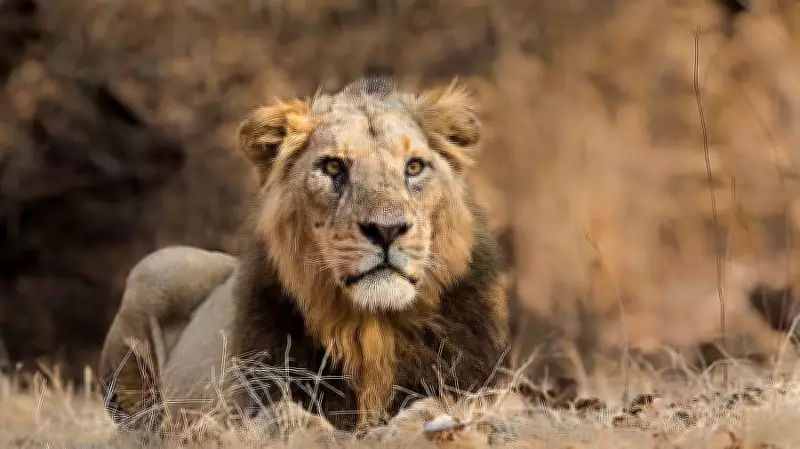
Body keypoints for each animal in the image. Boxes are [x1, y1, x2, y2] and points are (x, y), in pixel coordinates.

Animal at [98, 76, 511, 433]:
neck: (372, 328)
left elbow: (443, 404)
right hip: (158, 266)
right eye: (333, 166)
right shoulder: (254, 396)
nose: (387, 230)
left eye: (414, 167)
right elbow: (287, 415)